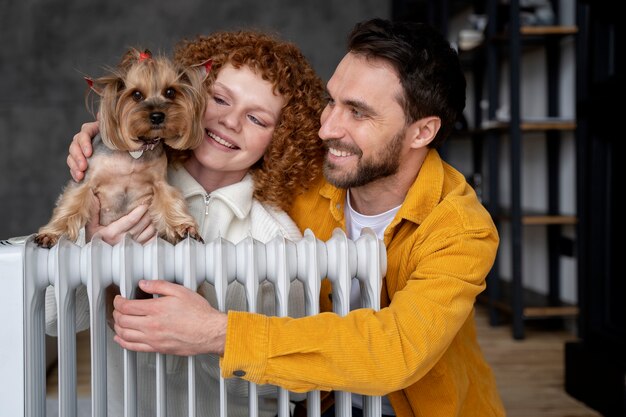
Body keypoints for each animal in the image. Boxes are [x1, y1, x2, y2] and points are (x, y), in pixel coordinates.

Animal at [35, 48, 207, 247]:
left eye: (170, 91)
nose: (157, 116)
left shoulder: (159, 182)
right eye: (137, 95)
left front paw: (183, 227)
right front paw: (52, 234)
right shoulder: (86, 181)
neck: (135, 152)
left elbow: (170, 200)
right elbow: (71, 205)